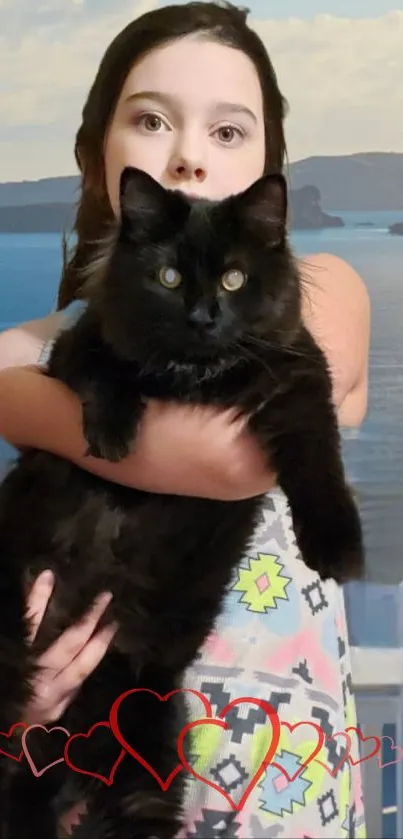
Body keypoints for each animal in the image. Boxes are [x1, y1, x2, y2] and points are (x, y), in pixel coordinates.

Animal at [0, 167, 362, 836]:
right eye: (168, 278)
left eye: (233, 279)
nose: (202, 316)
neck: (193, 377)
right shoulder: (74, 355)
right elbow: (107, 365)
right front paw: (114, 434)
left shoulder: (297, 381)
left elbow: (321, 464)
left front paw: (336, 547)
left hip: (144, 773)